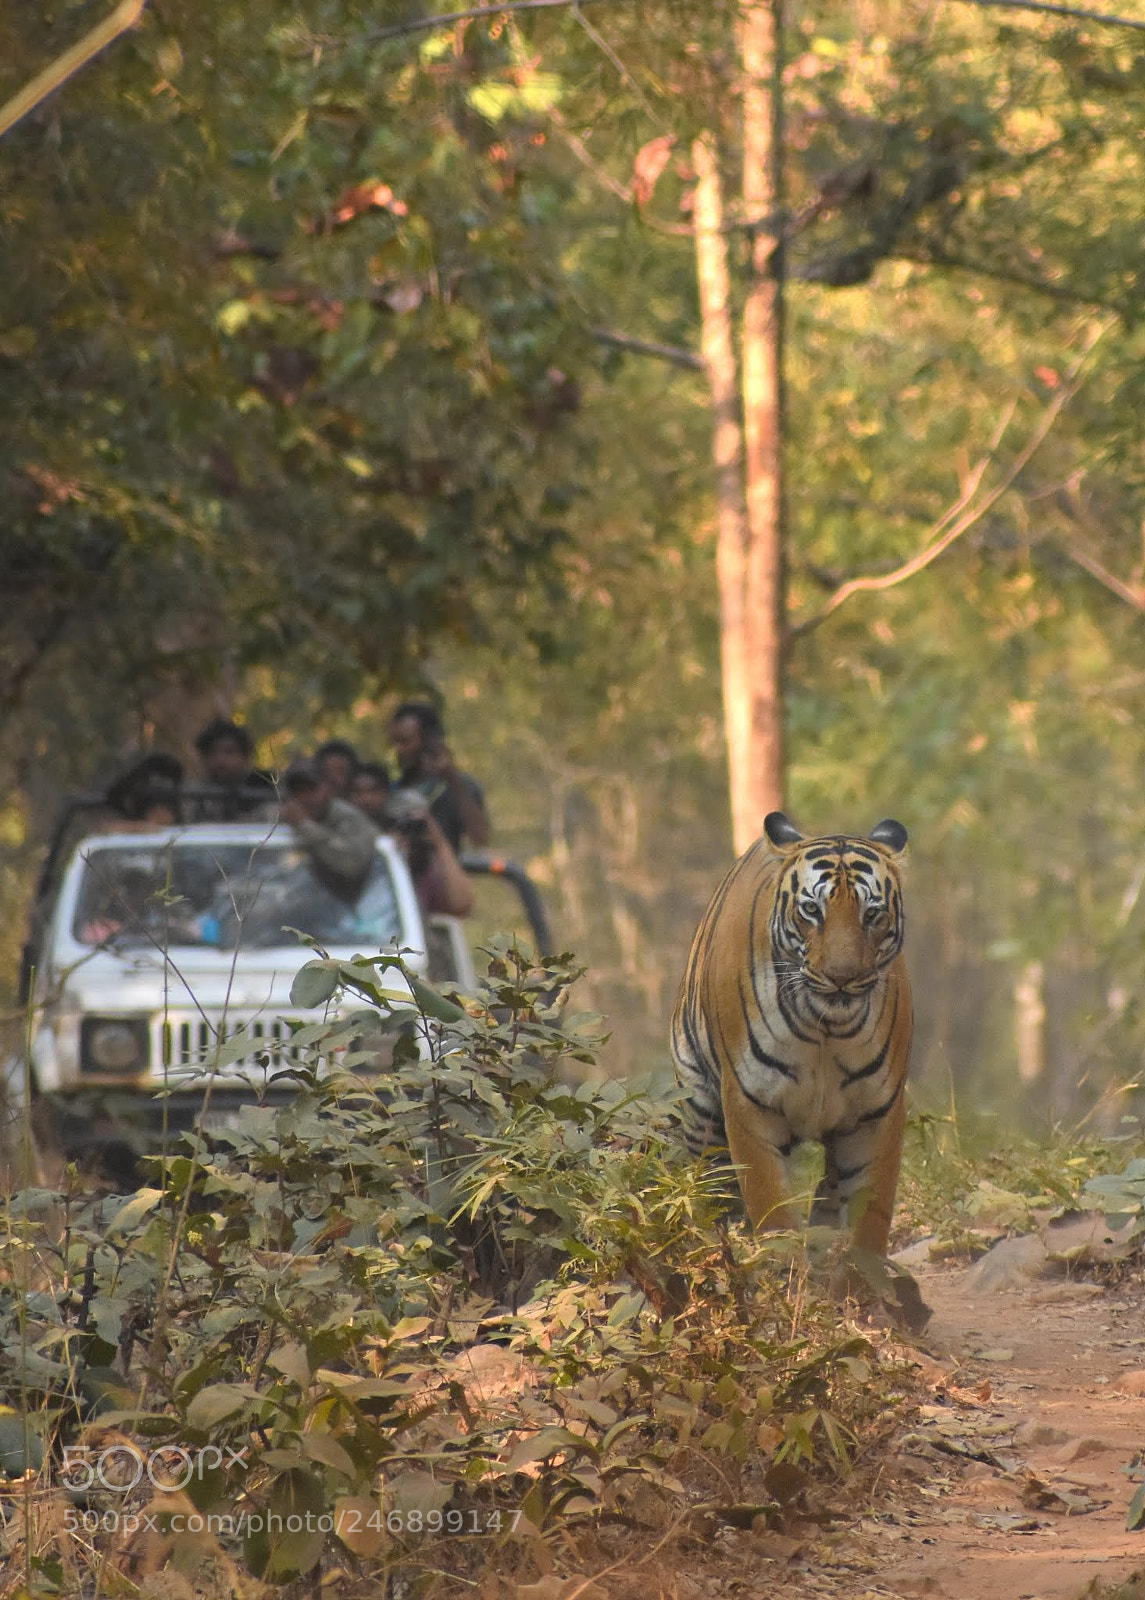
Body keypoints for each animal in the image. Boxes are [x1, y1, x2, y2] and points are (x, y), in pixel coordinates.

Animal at [670, 810, 912, 1256]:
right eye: (812, 910)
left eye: (872, 913)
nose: (841, 977)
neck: (827, 1027)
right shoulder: (750, 1102)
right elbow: (769, 1202)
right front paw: (780, 1260)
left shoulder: (877, 1114)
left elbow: (871, 1214)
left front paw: (862, 1271)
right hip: (699, 1111)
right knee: (710, 1186)